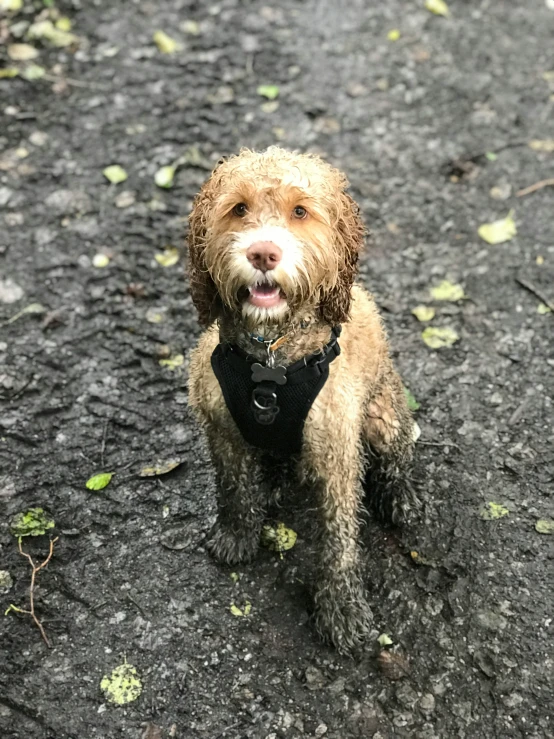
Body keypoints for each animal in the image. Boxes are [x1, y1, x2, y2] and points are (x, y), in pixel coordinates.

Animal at [185, 147, 414, 656]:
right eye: (239, 209)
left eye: (300, 212)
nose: (262, 252)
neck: (272, 355)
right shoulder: (222, 430)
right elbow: (233, 488)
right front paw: (236, 534)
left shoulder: (336, 454)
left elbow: (338, 540)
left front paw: (341, 609)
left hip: (383, 416)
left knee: (398, 454)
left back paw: (401, 497)